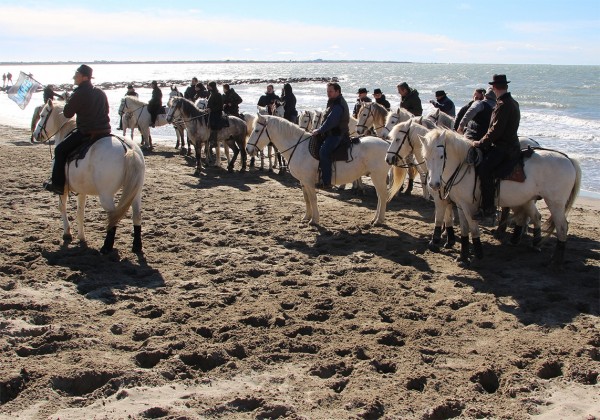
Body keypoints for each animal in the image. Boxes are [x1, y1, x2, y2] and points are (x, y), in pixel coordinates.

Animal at [32, 100, 145, 254]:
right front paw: (81, 237)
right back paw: (136, 246)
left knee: (113, 215)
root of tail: (128, 149)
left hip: (106, 196)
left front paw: (67, 233)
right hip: (135, 192)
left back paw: (106, 247)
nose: (36, 134)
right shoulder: (82, 191)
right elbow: (80, 212)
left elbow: (62, 207)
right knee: (136, 215)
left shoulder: (63, 189)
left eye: (43, 115)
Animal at [246, 115, 406, 225]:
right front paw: (306, 217)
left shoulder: (309, 181)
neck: (298, 147)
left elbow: (313, 198)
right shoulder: (303, 182)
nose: (248, 149)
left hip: (378, 176)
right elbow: (306, 199)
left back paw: (379, 220)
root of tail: (386, 144)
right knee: (380, 197)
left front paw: (314, 220)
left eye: (257, 130)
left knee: (382, 196)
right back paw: (376, 219)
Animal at [420, 128, 580, 268]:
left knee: (562, 227)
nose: (433, 184)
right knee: (535, 217)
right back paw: (533, 244)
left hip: (555, 203)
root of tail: (568, 159)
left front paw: (478, 254)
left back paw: (555, 262)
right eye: (425, 157)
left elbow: (473, 228)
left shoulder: (468, 206)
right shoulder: (460, 204)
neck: (465, 167)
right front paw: (463, 256)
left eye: (441, 156)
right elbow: (464, 228)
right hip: (527, 200)